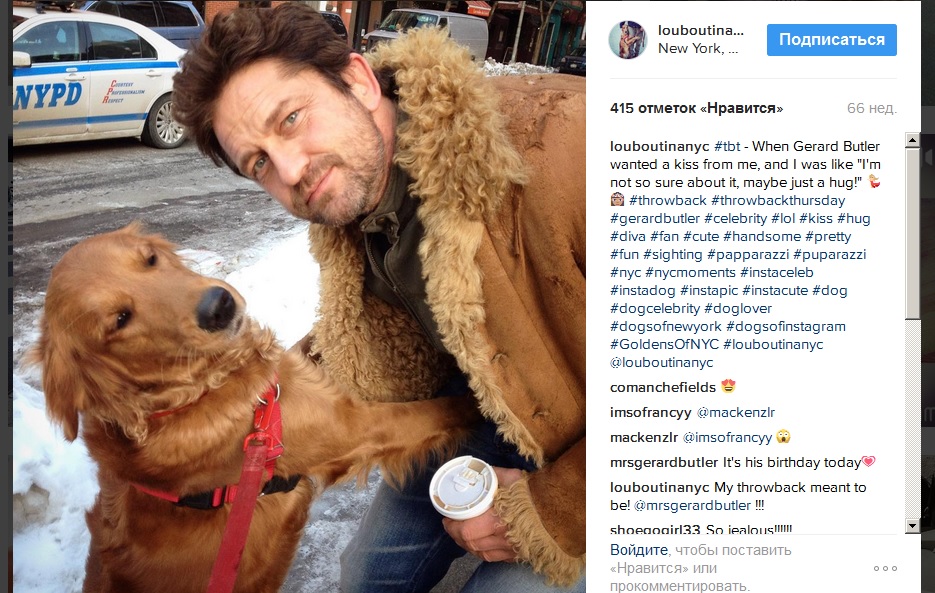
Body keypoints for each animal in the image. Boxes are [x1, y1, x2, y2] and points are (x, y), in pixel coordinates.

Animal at [26, 222, 479, 593]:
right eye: (120, 319)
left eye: (150, 259)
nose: (218, 305)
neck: (198, 394)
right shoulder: (354, 427)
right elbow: (438, 411)